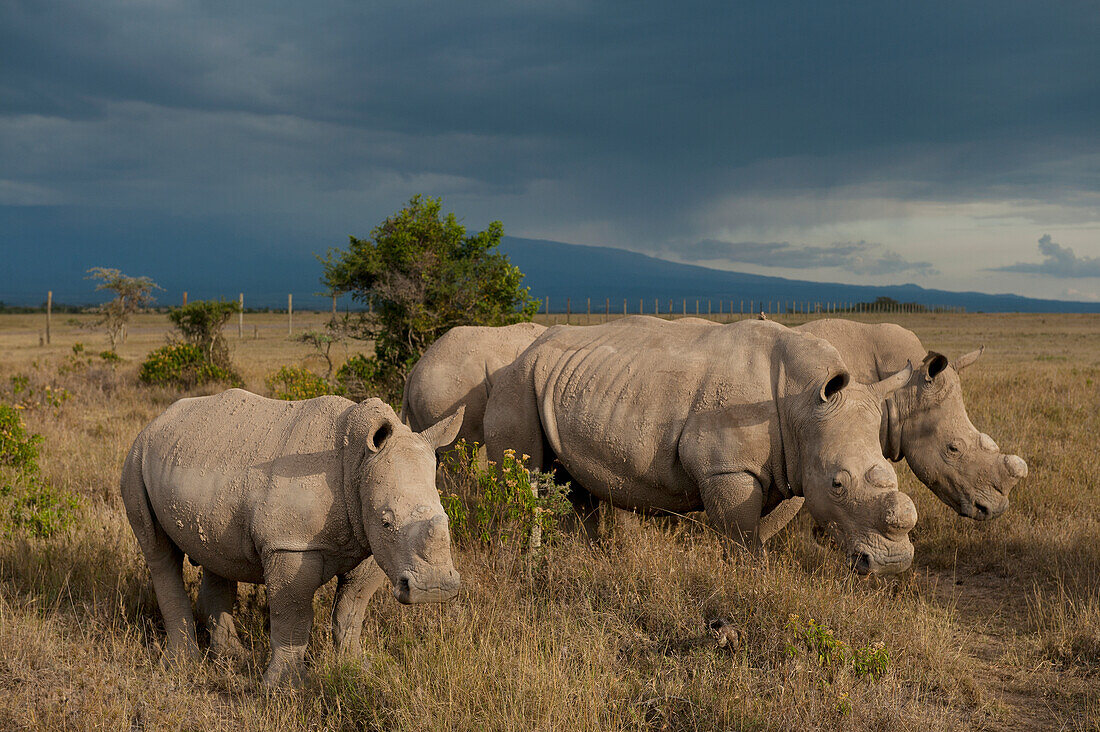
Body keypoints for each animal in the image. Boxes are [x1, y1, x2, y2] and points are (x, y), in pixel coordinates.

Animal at [120, 387, 464, 686]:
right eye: (386, 522)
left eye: (446, 517)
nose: (434, 589)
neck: (356, 461)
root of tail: (156, 421)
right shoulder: (290, 545)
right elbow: (294, 613)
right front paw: (285, 687)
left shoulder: (369, 544)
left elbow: (351, 612)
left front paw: (357, 668)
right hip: (136, 459)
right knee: (159, 553)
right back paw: (181, 664)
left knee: (215, 556)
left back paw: (234, 657)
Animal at [488, 317, 919, 572]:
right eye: (837, 485)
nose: (892, 563)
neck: (803, 400)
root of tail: (527, 349)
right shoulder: (726, 468)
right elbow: (742, 533)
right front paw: (749, 576)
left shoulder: (787, 466)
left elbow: (760, 529)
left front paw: (755, 570)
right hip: (517, 380)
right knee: (520, 476)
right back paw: (517, 562)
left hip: (568, 379)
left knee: (573, 481)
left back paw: (585, 558)